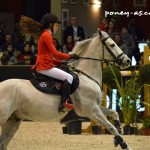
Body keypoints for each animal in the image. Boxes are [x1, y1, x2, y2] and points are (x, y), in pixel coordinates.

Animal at [0, 29, 132, 150]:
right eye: (112, 44)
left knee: (3, 144)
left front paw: (119, 131)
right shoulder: (92, 110)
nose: (128, 60)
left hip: (13, 121)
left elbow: (114, 113)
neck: (87, 77)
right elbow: (110, 127)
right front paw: (123, 144)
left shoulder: (94, 107)